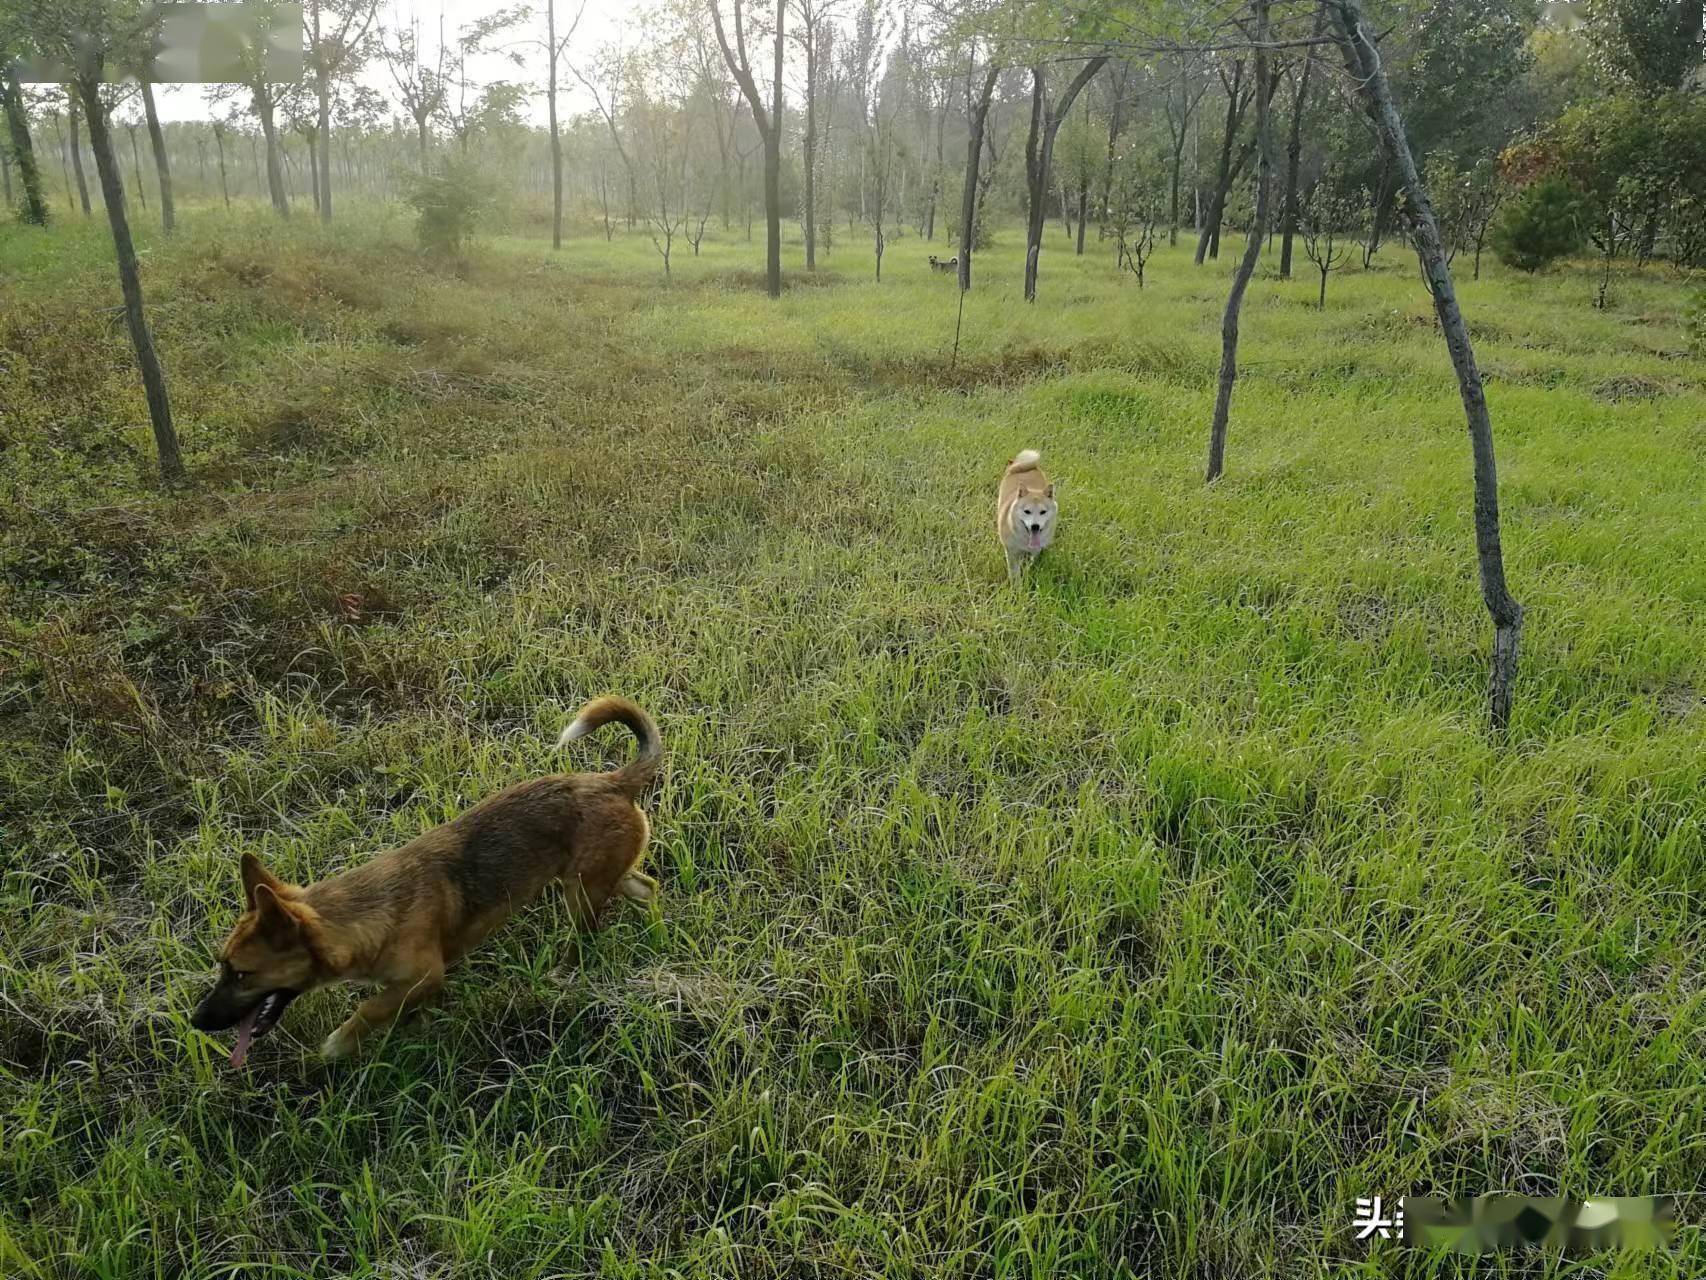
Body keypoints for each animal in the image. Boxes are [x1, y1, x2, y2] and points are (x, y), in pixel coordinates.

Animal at [190, 696, 658, 1064]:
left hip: (580, 893)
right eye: (221, 966)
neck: (366, 916)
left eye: (242, 975)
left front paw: (337, 1045)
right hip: (594, 878)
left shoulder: (423, 976)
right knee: (647, 888)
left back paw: (566, 973)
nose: (196, 1022)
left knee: (585, 936)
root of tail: (613, 782)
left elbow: (369, 1009)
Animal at [996, 447, 1050, 583]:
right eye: (1027, 511)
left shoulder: (1035, 549)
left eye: (1043, 512)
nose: (1035, 526)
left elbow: (1030, 563)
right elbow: (1014, 570)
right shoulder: (1011, 552)